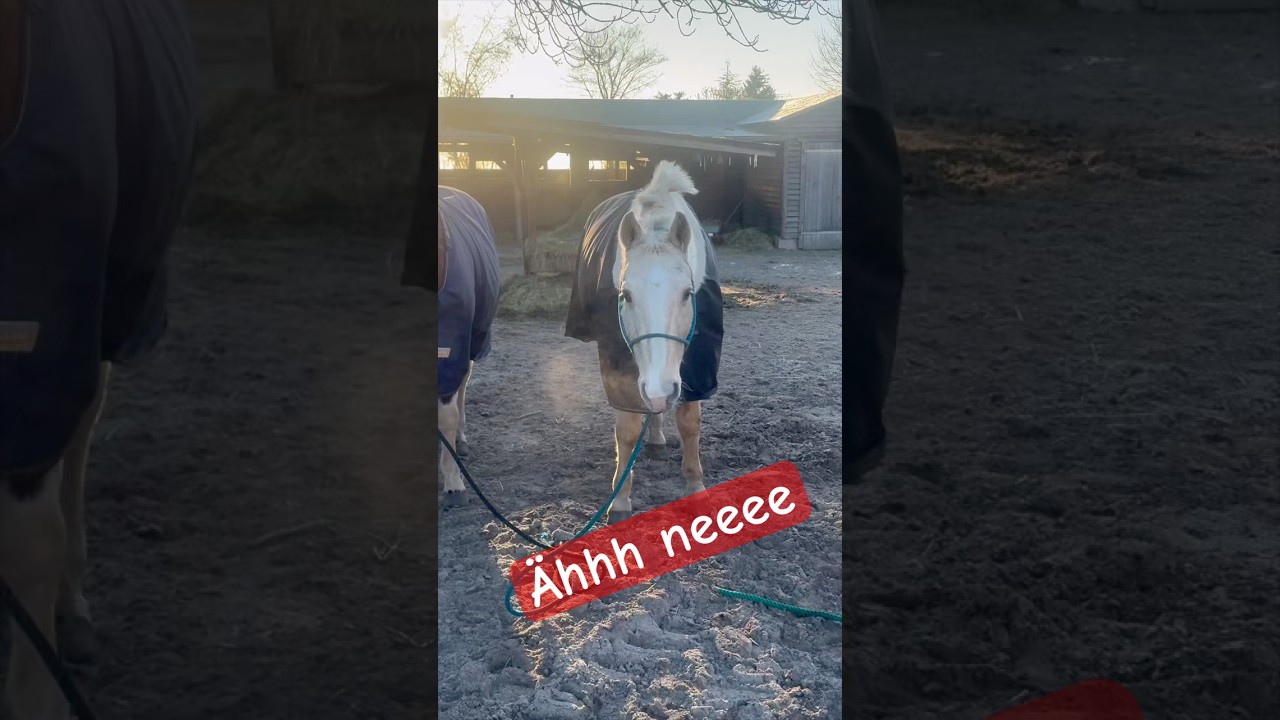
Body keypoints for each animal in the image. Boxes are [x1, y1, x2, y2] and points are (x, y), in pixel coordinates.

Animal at [565, 160, 725, 523]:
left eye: (688, 293)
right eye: (625, 295)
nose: (659, 391)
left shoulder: (698, 365)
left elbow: (690, 424)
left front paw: (696, 489)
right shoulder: (618, 366)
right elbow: (626, 430)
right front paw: (621, 500)